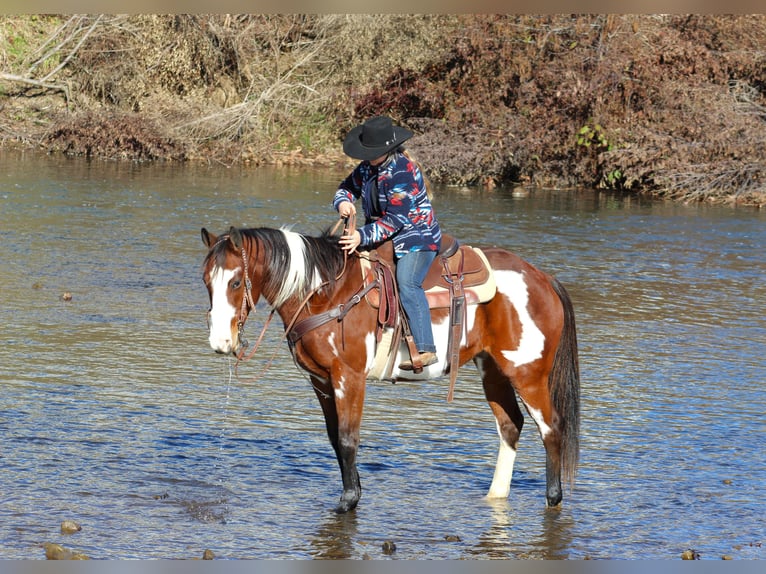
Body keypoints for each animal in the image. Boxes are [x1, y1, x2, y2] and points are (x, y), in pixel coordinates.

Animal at [201, 225, 580, 512]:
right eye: (206, 281)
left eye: (235, 282)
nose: (220, 342)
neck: (325, 292)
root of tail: (543, 278)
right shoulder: (320, 381)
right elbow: (335, 439)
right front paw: (354, 492)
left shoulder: (349, 377)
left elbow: (348, 439)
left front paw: (348, 501)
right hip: (493, 369)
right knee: (510, 426)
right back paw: (495, 495)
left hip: (527, 372)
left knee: (551, 428)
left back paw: (553, 498)